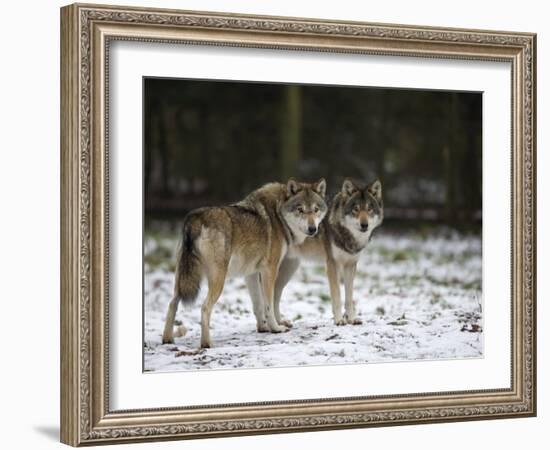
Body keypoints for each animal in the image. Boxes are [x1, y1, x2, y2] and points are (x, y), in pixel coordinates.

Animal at [163, 179, 328, 348]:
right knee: (204, 307)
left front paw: (263, 327)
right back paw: (207, 344)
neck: (278, 213)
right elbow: (268, 303)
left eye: (315, 210)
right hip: (218, 280)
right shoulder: (269, 269)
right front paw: (276, 328)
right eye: (300, 210)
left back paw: (167, 340)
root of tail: (194, 218)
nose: (313, 229)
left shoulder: (252, 273)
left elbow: (258, 304)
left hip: (182, 280)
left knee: (172, 304)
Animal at [250, 178, 384, 328]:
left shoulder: (351, 265)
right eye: (356, 209)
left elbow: (349, 298)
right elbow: (337, 296)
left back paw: (277, 323)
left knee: (274, 296)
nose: (364, 225)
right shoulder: (332, 265)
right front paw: (339, 320)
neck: (347, 235)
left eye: (369, 209)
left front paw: (351, 319)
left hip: (288, 269)